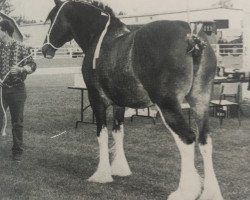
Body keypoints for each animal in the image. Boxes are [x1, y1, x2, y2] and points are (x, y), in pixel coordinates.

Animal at [42, 0, 224, 199]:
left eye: (52, 18)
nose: (45, 49)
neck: (101, 38)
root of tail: (191, 36)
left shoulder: (96, 99)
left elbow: (102, 134)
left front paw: (102, 174)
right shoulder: (120, 103)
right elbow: (118, 132)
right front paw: (120, 169)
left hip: (168, 105)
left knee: (187, 138)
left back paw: (184, 191)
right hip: (200, 100)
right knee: (205, 140)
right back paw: (210, 193)